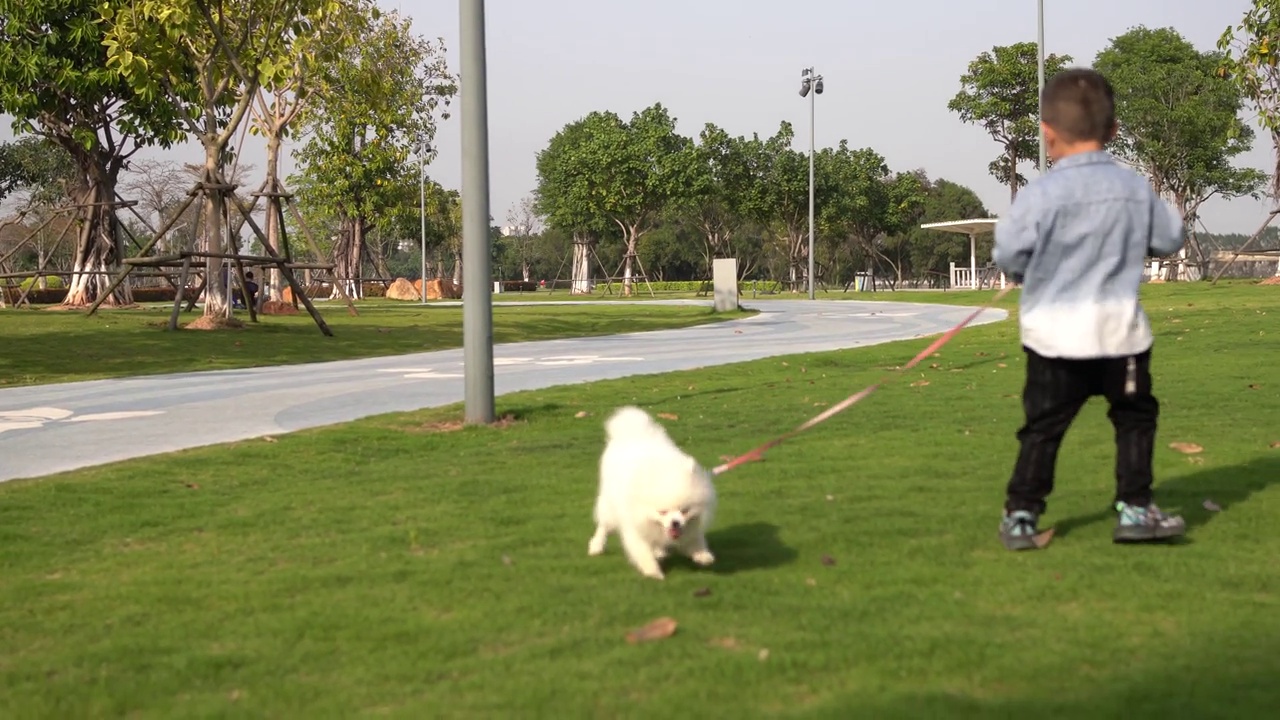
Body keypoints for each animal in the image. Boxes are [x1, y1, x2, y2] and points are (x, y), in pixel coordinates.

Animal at [588, 404, 721, 576]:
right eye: (662, 512)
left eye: (684, 510)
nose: (675, 523)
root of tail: (632, 432)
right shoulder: (634, 525)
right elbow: (643, 551)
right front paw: (653, 572)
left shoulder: (690, 525)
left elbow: (693, 539)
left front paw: (702, 554)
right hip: (610, 505)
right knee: (604, 526)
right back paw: (596, 546)